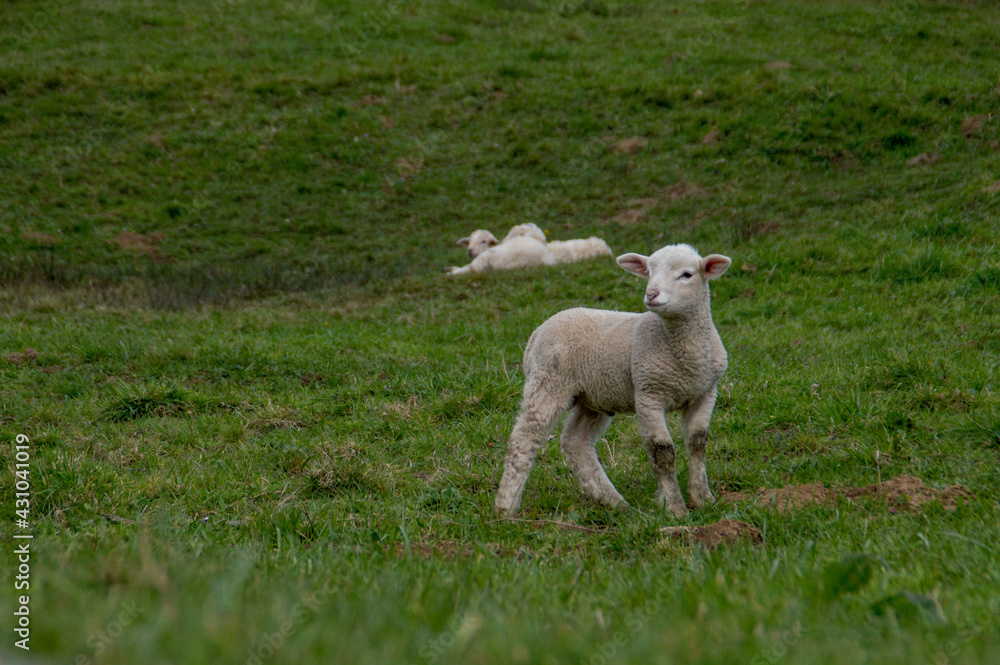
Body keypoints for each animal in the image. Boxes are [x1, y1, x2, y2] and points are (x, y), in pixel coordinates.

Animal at [494, 243, 732, 517]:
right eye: (649, 271)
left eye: (687, 274)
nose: (652, 294)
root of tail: (537, 332)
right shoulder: (649, 393)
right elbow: (663, 452)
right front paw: (674, 508)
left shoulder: (705, 392)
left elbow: (698, 443)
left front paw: (703, 499)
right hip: (548, 382)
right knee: (523, 440)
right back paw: (506, 507)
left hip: (593, 397)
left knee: (576, 443)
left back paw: (614, 502)